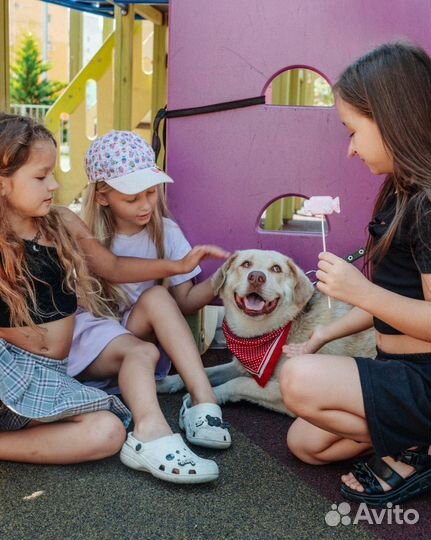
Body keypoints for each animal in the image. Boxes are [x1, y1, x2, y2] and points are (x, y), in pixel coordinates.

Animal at [158, 248, 374, 414]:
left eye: (276, 268)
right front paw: (168, 381)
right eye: (246, 264)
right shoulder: (239, 366)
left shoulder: (284, 390)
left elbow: (239, 383)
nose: (256, 277)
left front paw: (213, 395)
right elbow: (205, 371)